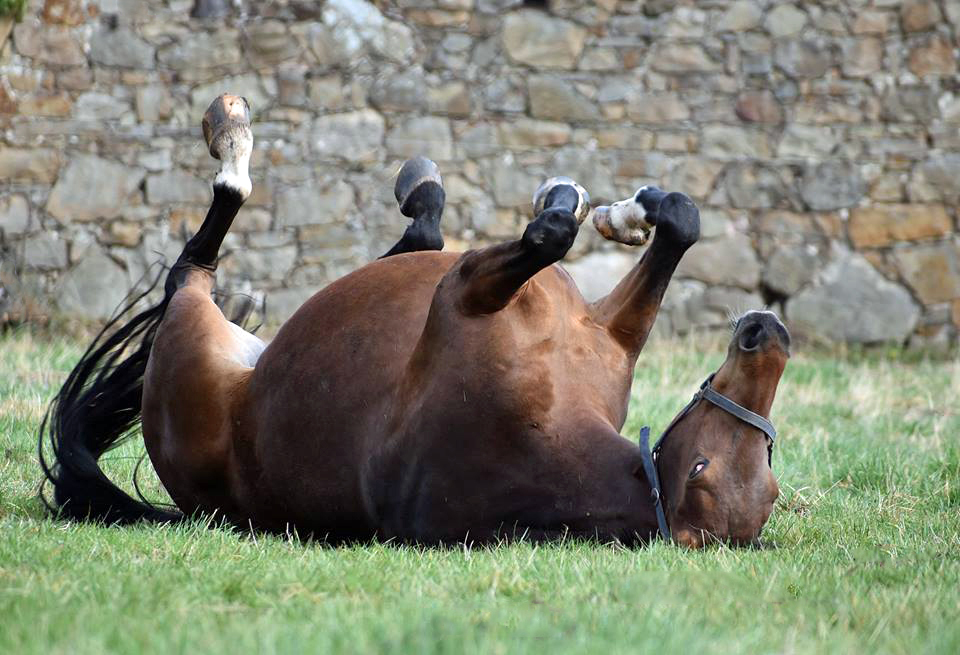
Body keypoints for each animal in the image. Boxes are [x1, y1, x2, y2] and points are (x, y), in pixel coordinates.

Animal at [37, 96, 792, 548]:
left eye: (707, 467)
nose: (768, 334)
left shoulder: (465, 292)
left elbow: (550, 234)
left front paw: (576, 202)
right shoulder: (610, 332)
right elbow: (678, 225)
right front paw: (635, 209)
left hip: (188, 334)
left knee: (194, 262)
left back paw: (232, 139)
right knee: (413, 239)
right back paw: (421, 187)